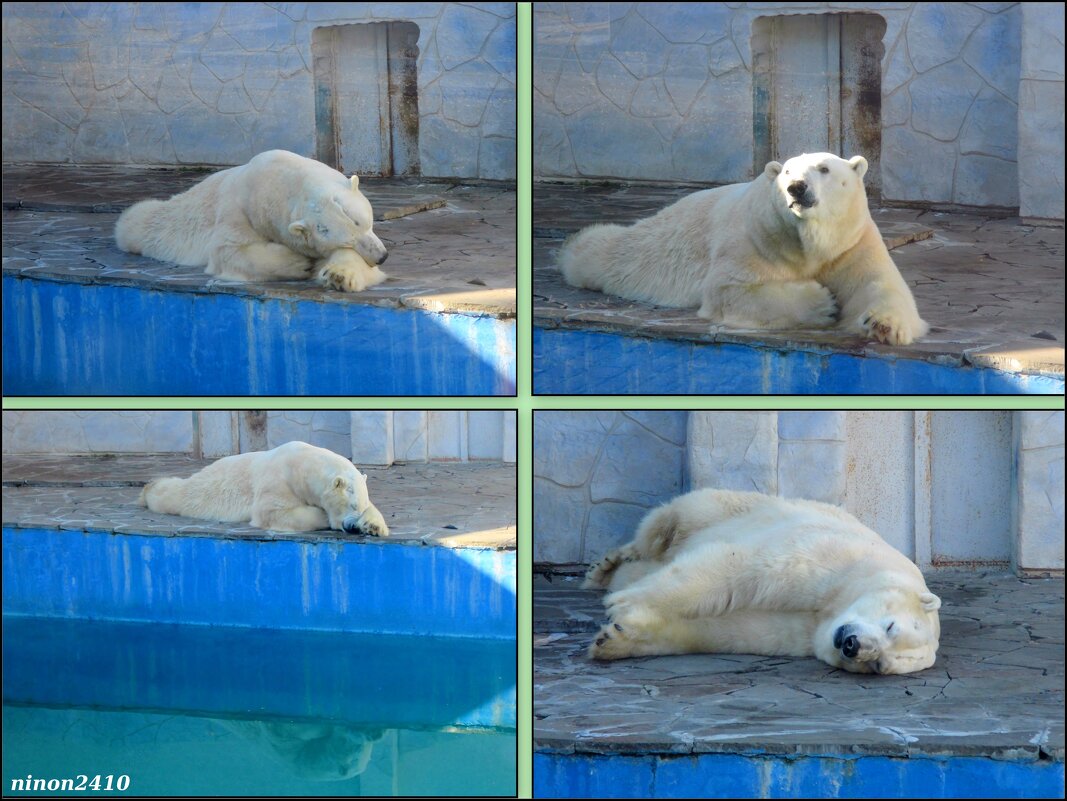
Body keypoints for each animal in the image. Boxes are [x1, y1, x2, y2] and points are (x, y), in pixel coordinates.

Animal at [114, 149, 390, 292]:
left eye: (364, 223)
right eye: (346, 240)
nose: (381, 256)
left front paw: (338, 276)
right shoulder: (238, 210)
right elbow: (229, 251)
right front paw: (300, 263)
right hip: (164, 219)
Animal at [139, 441, 390, 535]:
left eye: (360, 507)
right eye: (352, 504)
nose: (353, 527)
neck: (301, 464)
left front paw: (374, 526)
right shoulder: (278, 481)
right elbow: (273, 512)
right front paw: (324, 517)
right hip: (198, 492)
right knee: (172, 494)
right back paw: (148, 489)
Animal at [563, 151, 930, 345]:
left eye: (825, 169)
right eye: (786, 171)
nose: (796, 188)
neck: (811, 240)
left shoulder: (851, 245)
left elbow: (880, 284)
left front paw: (885, 325)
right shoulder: (757, 238)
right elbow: (732, 289)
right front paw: (823, 302)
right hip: (659, 244)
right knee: (611, 252)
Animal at [584, 488, 943, 678]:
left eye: (878, 665)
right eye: (891, 626)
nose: (852, 645)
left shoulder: (801, 632)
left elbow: (730, 630)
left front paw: (615, 638)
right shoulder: (833, 558)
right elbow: (739, 568)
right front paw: (624, 603)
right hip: (727, 508)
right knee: (666, 527)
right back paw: (607, 567)